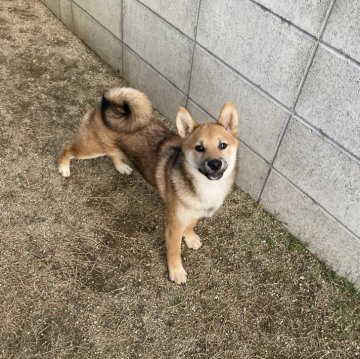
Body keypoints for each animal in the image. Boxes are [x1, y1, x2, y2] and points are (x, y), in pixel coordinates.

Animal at [58, 87, 239, 284]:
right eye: (199, 148)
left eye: (223, 145)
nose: (215, 164)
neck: (205, 186)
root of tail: (110, 106)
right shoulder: (174, 223)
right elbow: (174, 250)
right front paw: (176, 271)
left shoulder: (194, 211)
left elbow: (191, 224)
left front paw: (190, 238)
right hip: (92, 148)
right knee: (68, 149)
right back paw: (63, 167)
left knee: (112, 153)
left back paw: (121, 167)